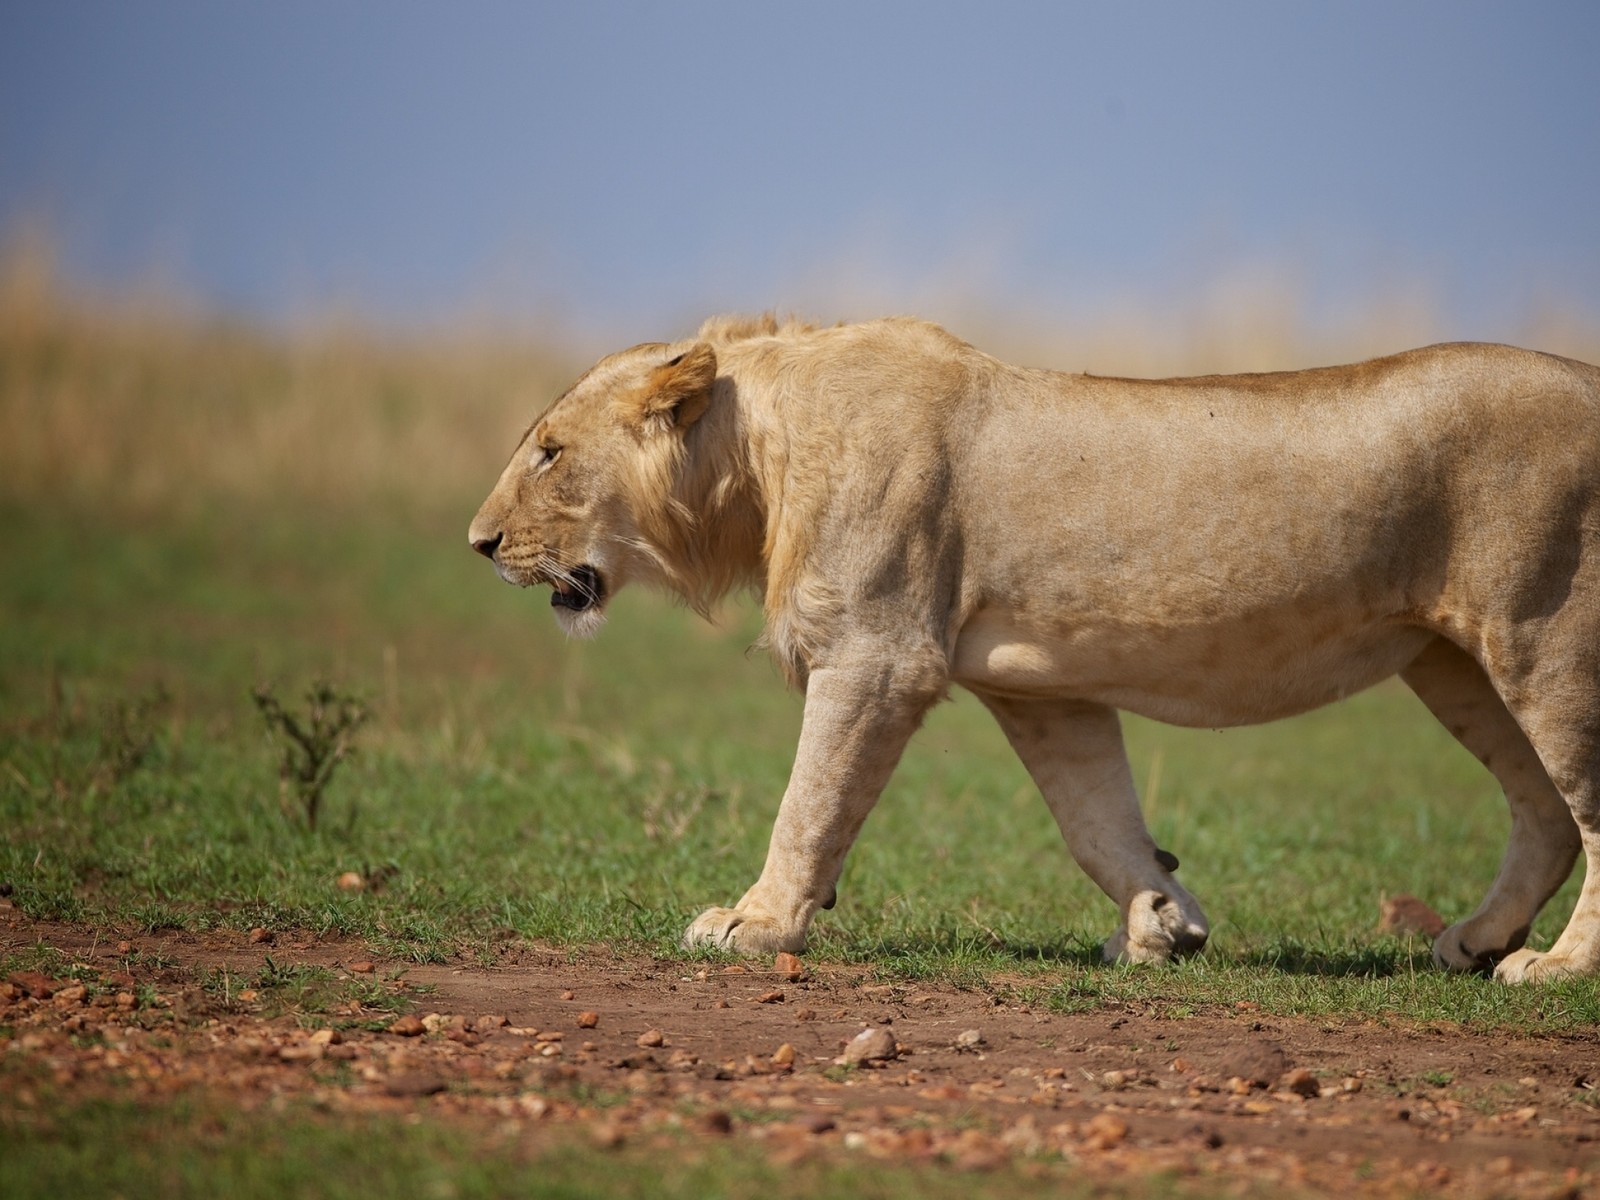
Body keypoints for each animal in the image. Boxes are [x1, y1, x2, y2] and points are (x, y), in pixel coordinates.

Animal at [467, 315, 1600, 979]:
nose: (476, 544)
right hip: (1449, 661)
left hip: (1549, 641)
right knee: (1543, 811)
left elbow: (810, 803)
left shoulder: (877, 656)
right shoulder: (1045, 688)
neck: (756, 456)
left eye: (550, 452)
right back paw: (1474, 941)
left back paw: (1552, 970)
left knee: (1584, 806)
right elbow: (1098, 820)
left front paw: (757, 924)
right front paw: (1161, 924)